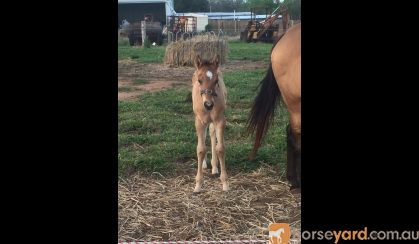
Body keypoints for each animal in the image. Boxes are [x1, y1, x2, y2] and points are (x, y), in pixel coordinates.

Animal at [191, 53, 228, 193]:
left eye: (216, 81)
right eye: (199, 80)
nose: (208, 105)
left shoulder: (220, 120)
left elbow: (220, 148)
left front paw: (225, 183)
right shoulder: (199, 121)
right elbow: (200, 149)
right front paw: (198, 185)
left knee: (212, 134)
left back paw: (214, 167)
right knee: (207, 135)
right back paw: (205, 164)